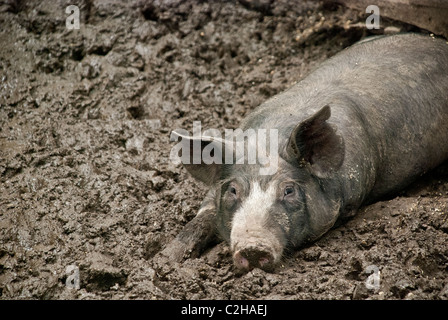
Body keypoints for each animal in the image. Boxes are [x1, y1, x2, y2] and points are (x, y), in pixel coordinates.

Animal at [160, 33, 448, 272]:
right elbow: (203, 215)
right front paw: (164, 260)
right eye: (232, 190)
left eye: (289, 190)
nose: (252, 247)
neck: (267, 142)